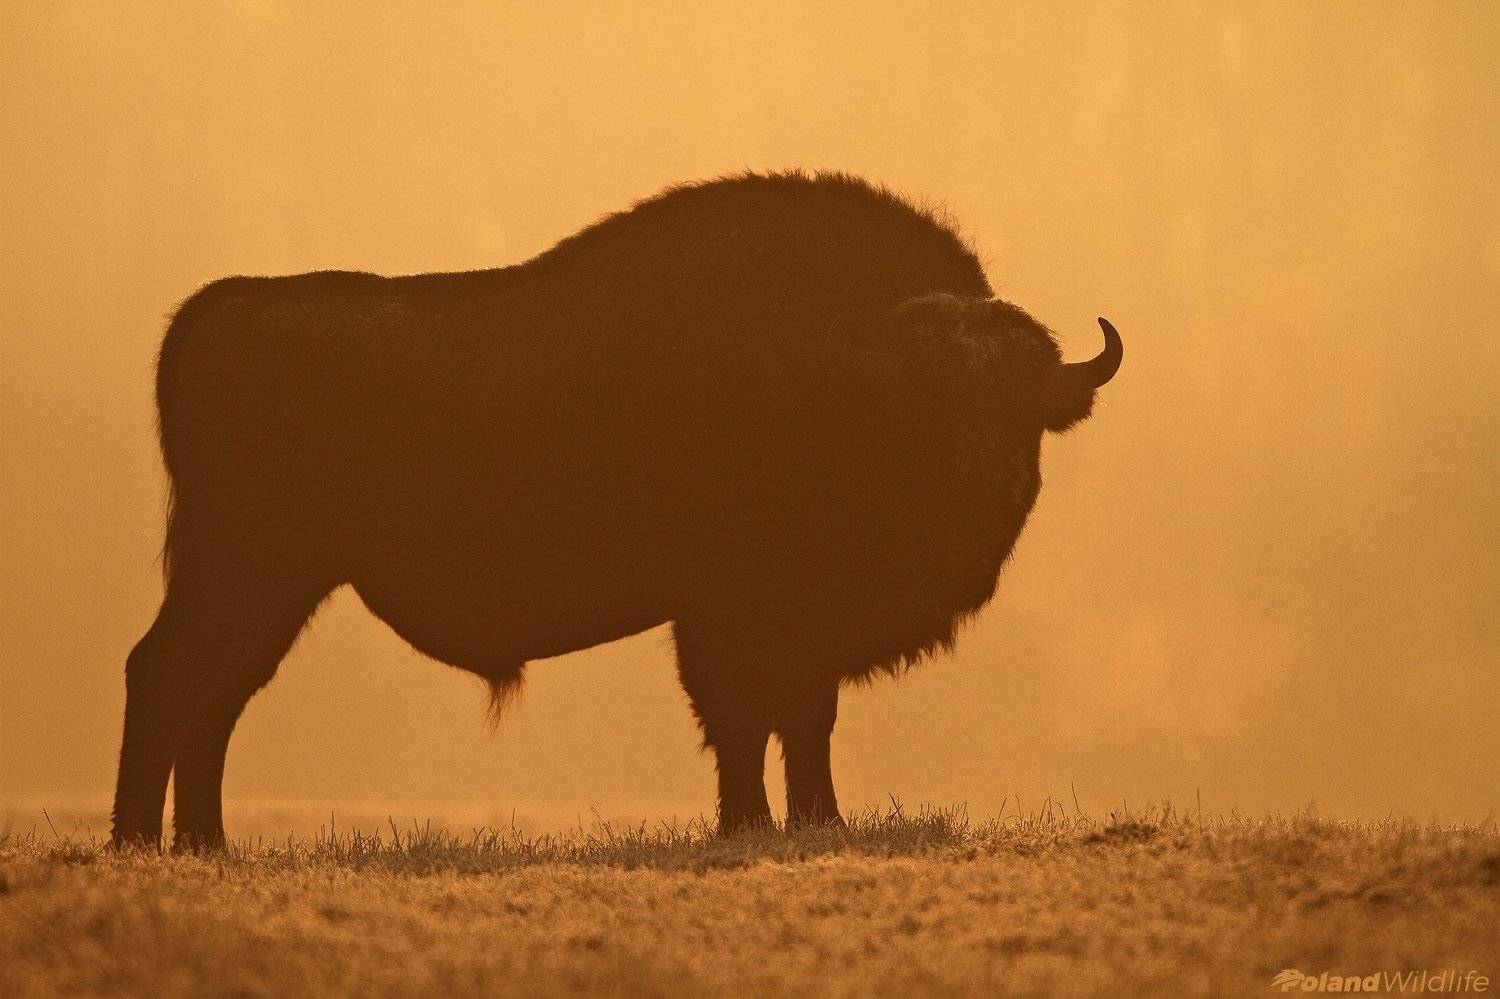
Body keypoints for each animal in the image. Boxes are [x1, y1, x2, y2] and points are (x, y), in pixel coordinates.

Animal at [111, 171, 1122, 848]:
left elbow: (805, 721)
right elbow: (745, 717)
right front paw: (749, 826)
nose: (986, 489)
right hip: (251, 568)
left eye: (1020, 408)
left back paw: (200, 843)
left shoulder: (797, 632)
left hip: (274, 582)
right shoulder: (727, 615)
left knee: (211, 693)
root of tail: (225, 304)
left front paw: (818, 822)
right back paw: (142, 842)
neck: (837, 370)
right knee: (168, 675)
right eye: (925, 402)